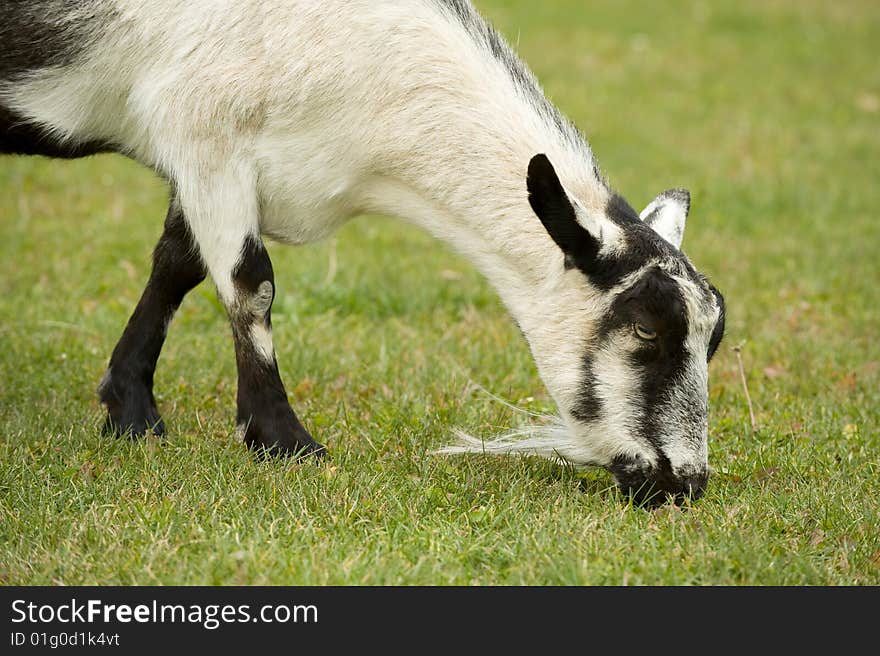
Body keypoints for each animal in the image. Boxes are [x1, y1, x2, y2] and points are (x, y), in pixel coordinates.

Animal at [1, 0, 728, 504]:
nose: (685, 482)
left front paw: (129, 409)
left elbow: (177, 265)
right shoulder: (205, 135)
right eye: (645, 329)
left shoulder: (218, 165)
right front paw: (283, 440)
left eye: (712, 339)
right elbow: (249, 282)